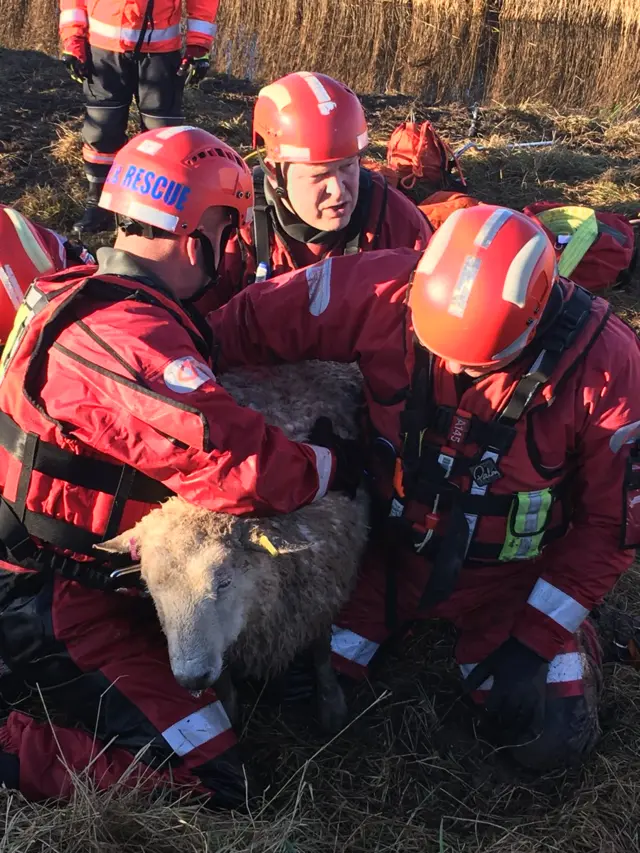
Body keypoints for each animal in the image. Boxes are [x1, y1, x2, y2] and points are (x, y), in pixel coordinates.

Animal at [98, 360, 372, 732]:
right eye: (150, 588)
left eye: (224, 581)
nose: (192, 678)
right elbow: (226, 683)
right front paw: (229, 713)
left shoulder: (321, 596)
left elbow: (322, 651)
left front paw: (332, 708)